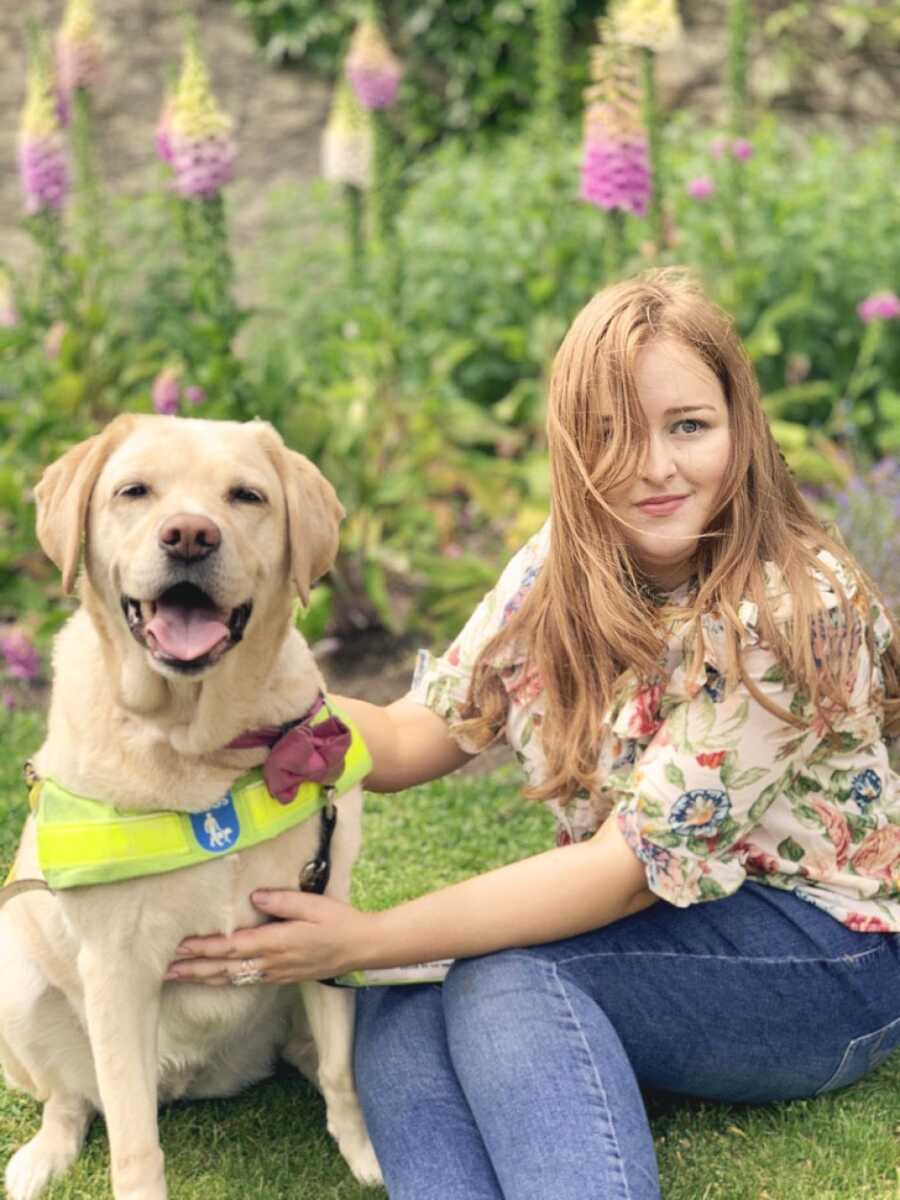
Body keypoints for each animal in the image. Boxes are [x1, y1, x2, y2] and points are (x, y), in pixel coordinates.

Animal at [0, 415, 381, 1200]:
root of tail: (188, 1081)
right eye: (134, 491)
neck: (196, 748)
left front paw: (368, 1155)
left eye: (246, 496)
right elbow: (134, 1143)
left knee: (314, 1052)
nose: (189, 536)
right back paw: (43, 1155)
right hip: (14, 982)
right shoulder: (116, 970)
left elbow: (341, 1068)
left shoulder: (326, 913)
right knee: (71, 1099)